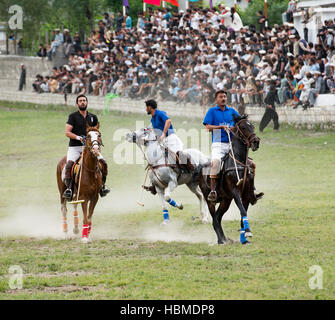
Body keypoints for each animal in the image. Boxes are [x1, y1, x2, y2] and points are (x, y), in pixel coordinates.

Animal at [200, 115, 262, 245]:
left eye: (253, 126)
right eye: (243, 127)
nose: (256, 141)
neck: (240, 162)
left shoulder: (246, 194)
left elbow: (243, 212)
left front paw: (244, 238)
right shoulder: (235, 191)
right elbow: (242, 211)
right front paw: (248, 232)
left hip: (226, 200)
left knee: (218, 217)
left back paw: (224, 238)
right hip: (209, 199)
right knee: (214, 218)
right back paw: (220, 240)